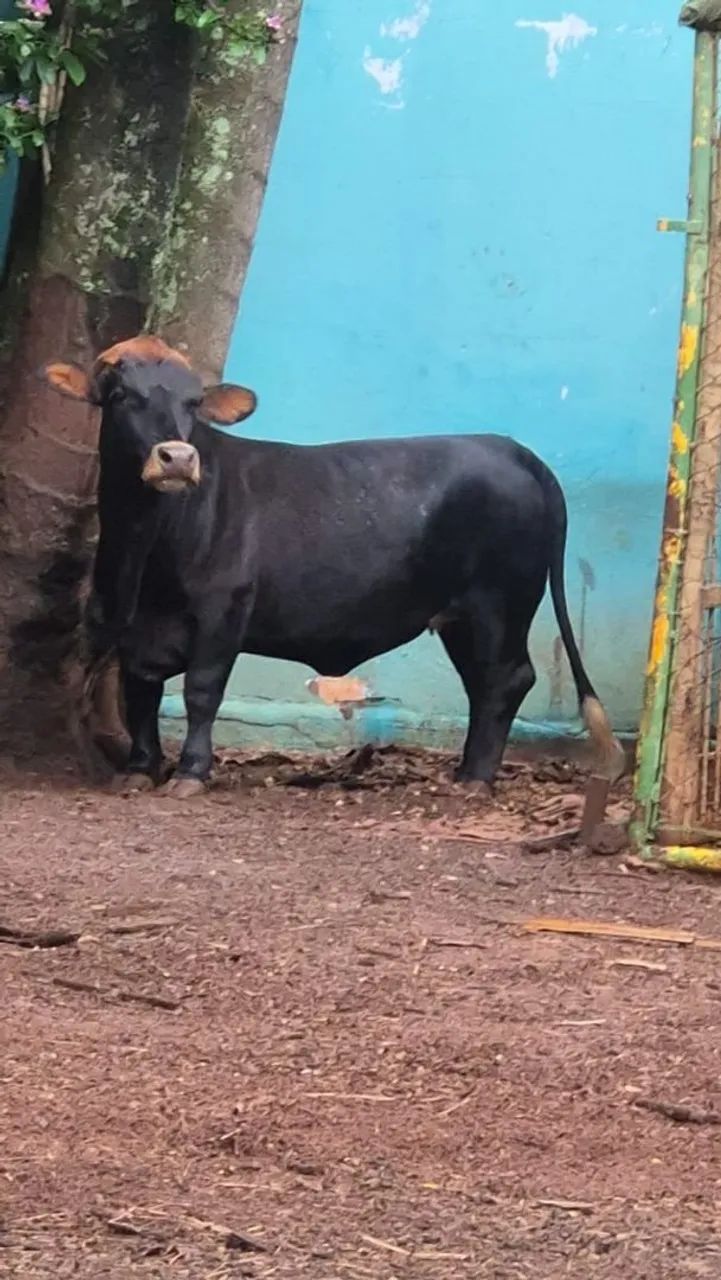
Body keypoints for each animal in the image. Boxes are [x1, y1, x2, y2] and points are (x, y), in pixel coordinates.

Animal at [42, 336, 624, 797]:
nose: (178, 458)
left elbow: (202, 692)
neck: (146, 553)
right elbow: (139, 690)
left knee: (506, 678)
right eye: (121, 395)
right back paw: (465, 772)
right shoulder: (131, 623)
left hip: (500, 603)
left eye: (193, 402)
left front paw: (191, 772)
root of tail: (511, 449)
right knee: (484, 684)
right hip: (460, 615)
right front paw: (140, 768)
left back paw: (477, 779)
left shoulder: (223, 613)